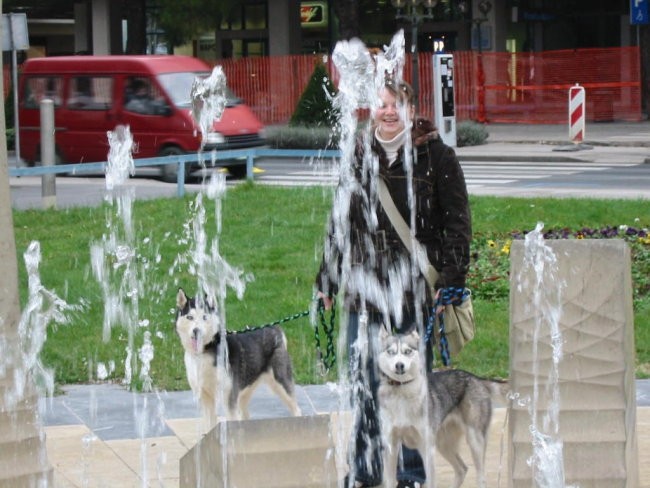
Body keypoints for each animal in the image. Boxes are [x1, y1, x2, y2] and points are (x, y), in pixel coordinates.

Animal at [175, 288, 302, 426]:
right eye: (189, 317)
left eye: (205, 317)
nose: (196, 331)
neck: (204, 353)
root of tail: (275, 328)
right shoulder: (204, 396)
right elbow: (209, 425)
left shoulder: (228, 397)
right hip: (244, 391)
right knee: (245, 415)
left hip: (281, 383)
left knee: (297, 409)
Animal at [374, 328, 506, 488]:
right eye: (391, 352)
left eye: (407, 351)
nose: (399, 365)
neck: (401, 395)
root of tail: (476, 378)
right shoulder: (390, 448)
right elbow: (389, 481)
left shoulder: (426, 448)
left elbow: (430, 481)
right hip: (443, 443)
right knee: (462, 469)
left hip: (474, 441)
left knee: (481, 477)